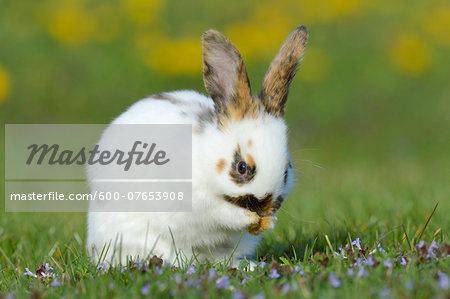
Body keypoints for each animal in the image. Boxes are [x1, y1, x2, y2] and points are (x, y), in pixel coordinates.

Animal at [86, 25, 308, 268]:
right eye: (241, 168)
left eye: (287, 171)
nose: (264, 208)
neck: (206, 158)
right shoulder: (199, 204)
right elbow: (222, 213)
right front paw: (248, 218)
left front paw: (269, 221)